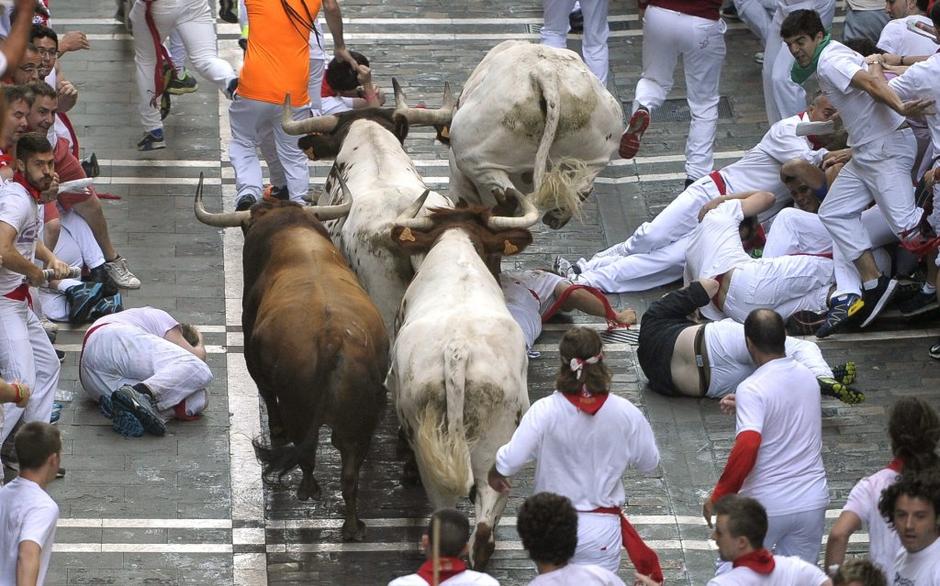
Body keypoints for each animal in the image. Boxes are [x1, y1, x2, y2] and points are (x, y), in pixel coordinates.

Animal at [193, 172, 388, 540]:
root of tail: (332, 339)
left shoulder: (254, 360)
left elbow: (268, 397)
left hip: (301, 408)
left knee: (307, 453)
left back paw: (307, 490)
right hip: (361, 418)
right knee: (349, 470)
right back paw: (353, 526)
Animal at [396, 40, 624, 228]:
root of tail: (546, 72)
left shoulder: (459, 182)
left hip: (476, 159)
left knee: (508, 198)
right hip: (594, 156)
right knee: (582, 186)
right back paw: (557, 215)